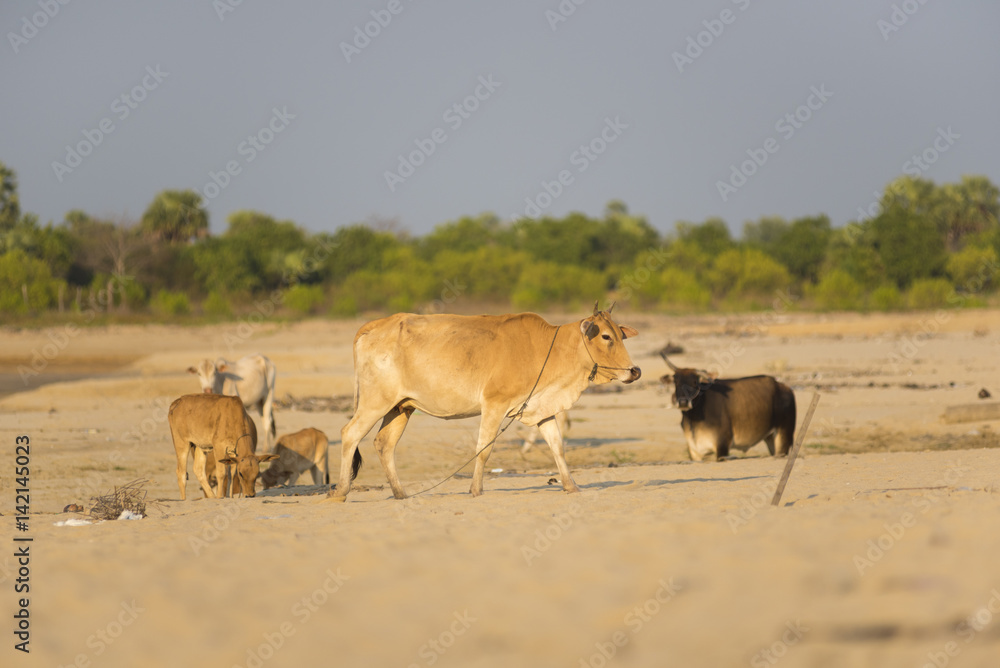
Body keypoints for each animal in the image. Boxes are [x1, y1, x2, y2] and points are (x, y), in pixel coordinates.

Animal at [327, 303, 640, 502]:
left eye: (621, 335)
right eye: (606, 336)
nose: (635, 371)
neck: (547, 349)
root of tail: (374, 325)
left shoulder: (542, 409)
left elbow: (558, 448)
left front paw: (571, 486)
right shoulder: (494, 405)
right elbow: (484, 450)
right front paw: (476, 490)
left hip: (401, 407)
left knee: (384, 444)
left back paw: (400, 494)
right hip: (374, 402)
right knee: (349, 434)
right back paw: (341, 491)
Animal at [659, 354, 796, 462]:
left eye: (695, 382)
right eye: (676, 381)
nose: (683, 402)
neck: (694, 420)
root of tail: (784, 387)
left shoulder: (722, 446)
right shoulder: (694, 452)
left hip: (784, 435)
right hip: (770, 438)